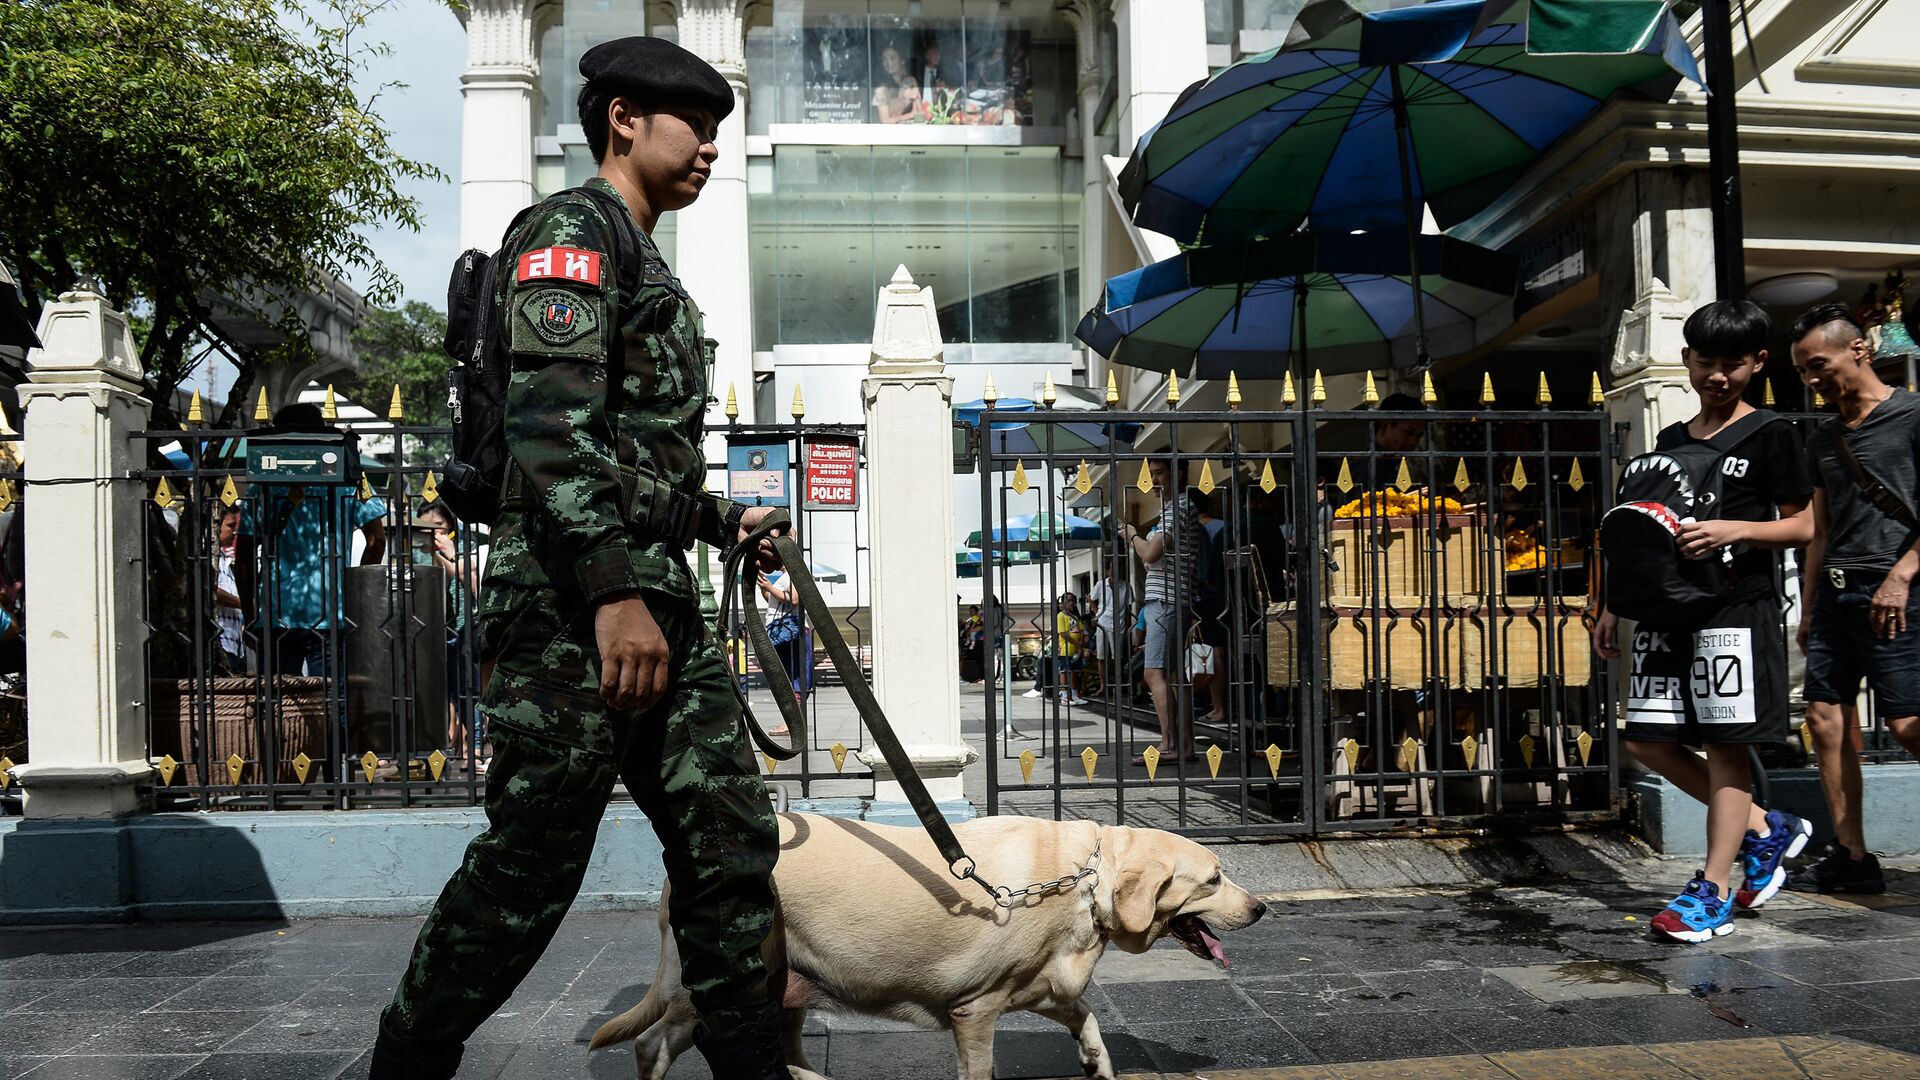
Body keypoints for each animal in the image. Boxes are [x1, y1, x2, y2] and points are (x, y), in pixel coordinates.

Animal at [591, 807, 1267, 1076]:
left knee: (782, 1045)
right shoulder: (975, 1010)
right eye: (1214, 878)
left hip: (786, 985)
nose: (1261, 908)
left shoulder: (1044, 988)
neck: (1081, 881)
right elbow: (982, 1067)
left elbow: (1088, 1019)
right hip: (712, 986)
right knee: (653, 1045)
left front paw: (1097, 1063)